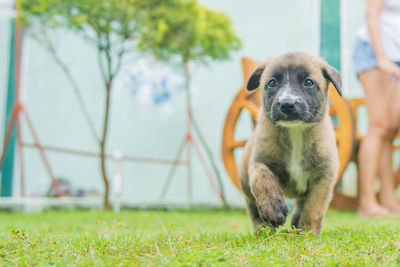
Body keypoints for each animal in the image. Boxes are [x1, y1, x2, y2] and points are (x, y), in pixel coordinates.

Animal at [239, 51, 342, 234]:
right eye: (272, 82)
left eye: (308, 82)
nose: (287, 104)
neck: (296, 131)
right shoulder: (258, 162)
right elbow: (262, 180)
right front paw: (273, 208)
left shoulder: (323, 179)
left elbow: (313, 210)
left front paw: (308, 232)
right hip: (246, 187)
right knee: (254, 211)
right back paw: (264, 230)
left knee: (301, 207)